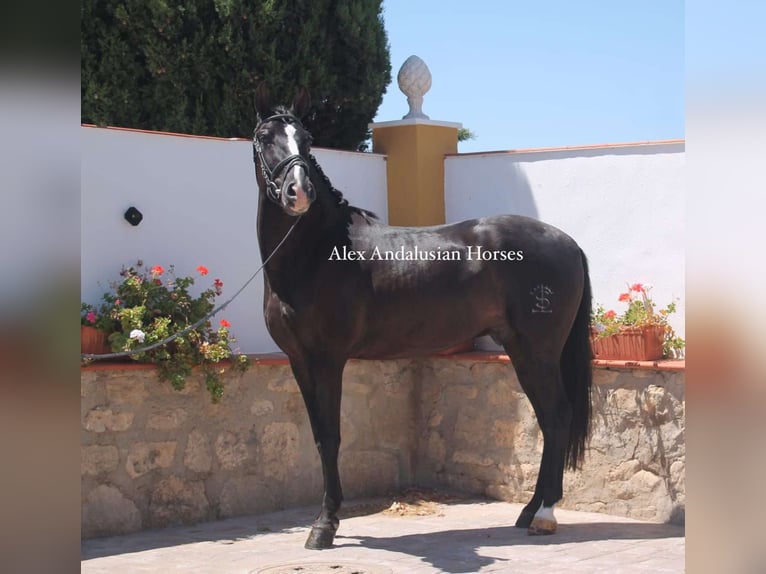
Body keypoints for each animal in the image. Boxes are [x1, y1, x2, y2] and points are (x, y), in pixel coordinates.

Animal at [255, 84, 596, 548]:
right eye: (265, 137)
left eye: (307, 140)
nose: (299, 193)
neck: (317, 253)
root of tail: (569, 243)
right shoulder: (298, 361)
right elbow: (319, 438)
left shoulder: (328, 359)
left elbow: (331, 436)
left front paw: (325, 524)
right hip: (523, 352)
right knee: (548, 419)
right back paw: (529, 511)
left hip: (538, 351)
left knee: (558, 417)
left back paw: (543, 515)